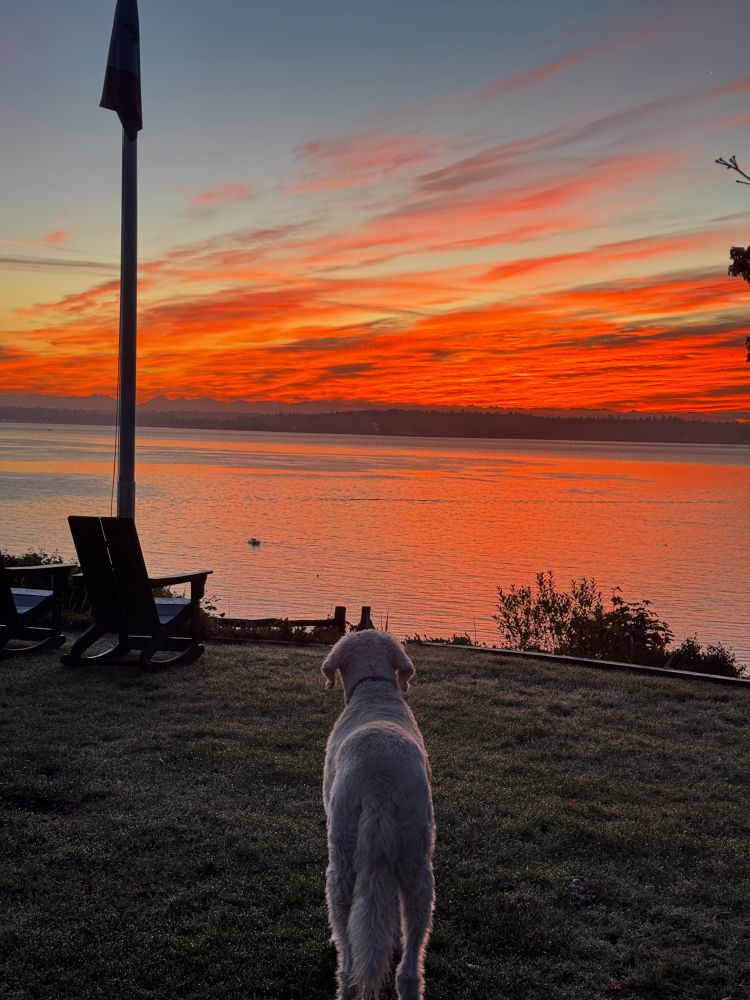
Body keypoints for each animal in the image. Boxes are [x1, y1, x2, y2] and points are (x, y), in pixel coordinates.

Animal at [321, 631, 435, 1000]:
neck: (374, 688)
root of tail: (379, 784)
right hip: (417, 853)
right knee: (411, 964)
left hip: (342, 857)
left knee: (348, 955)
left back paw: (345, 978)